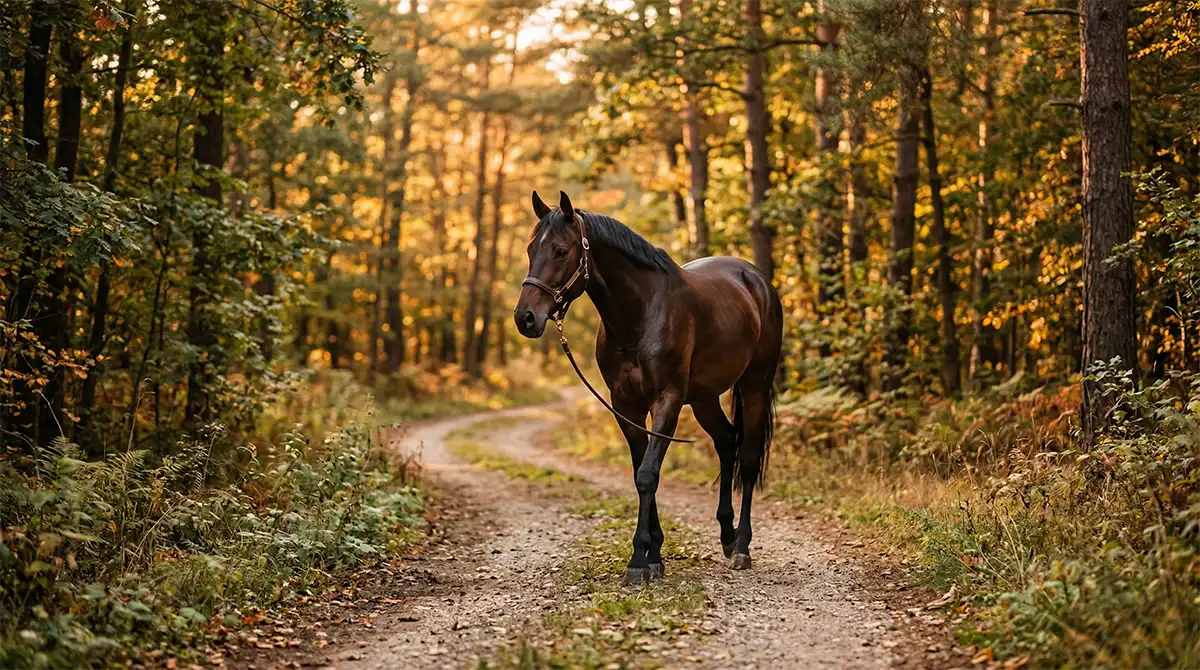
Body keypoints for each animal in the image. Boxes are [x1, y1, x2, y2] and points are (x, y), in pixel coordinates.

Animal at [513, 190, 782, 585]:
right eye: (532, 249)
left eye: (561, 251)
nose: (525, 318)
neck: (639, 315)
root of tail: (757, 280)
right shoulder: (625, 405)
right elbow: (641, 468)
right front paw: (653, 554)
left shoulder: (666, 400)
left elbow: (647, 474)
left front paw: (639, 560)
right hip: (704, 398)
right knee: (726, 442)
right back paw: (727, 536)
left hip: (755, 386)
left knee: (747, 458)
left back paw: (743, 547)